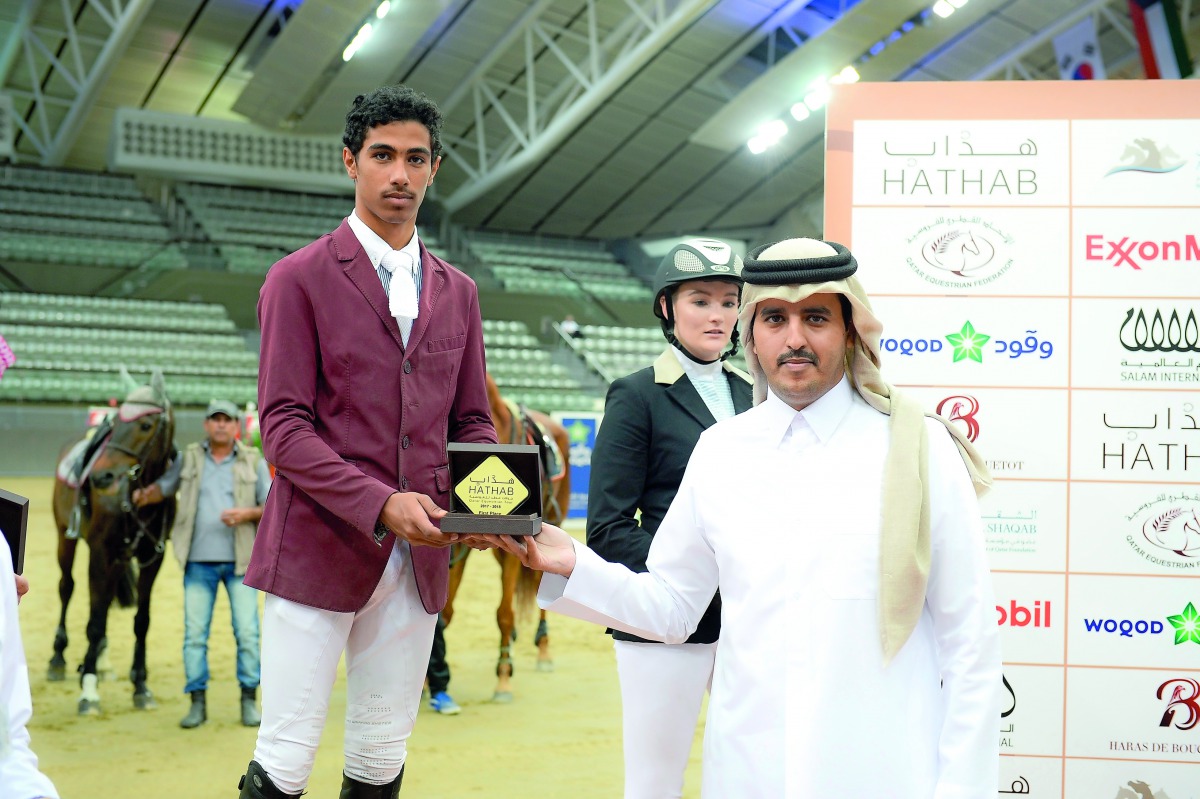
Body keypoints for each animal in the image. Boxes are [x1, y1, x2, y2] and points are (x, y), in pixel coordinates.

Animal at [48, 369, 176, 710]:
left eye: (145, 425)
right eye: (116, 423)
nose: (101, 477)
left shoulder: (152, 558)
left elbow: (141, 621)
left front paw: (141, 686)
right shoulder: (100, 551)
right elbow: (94, 619)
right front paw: (88, 690)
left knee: (102, 601)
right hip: (65, 538)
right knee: (67, 588)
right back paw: (59, 658)